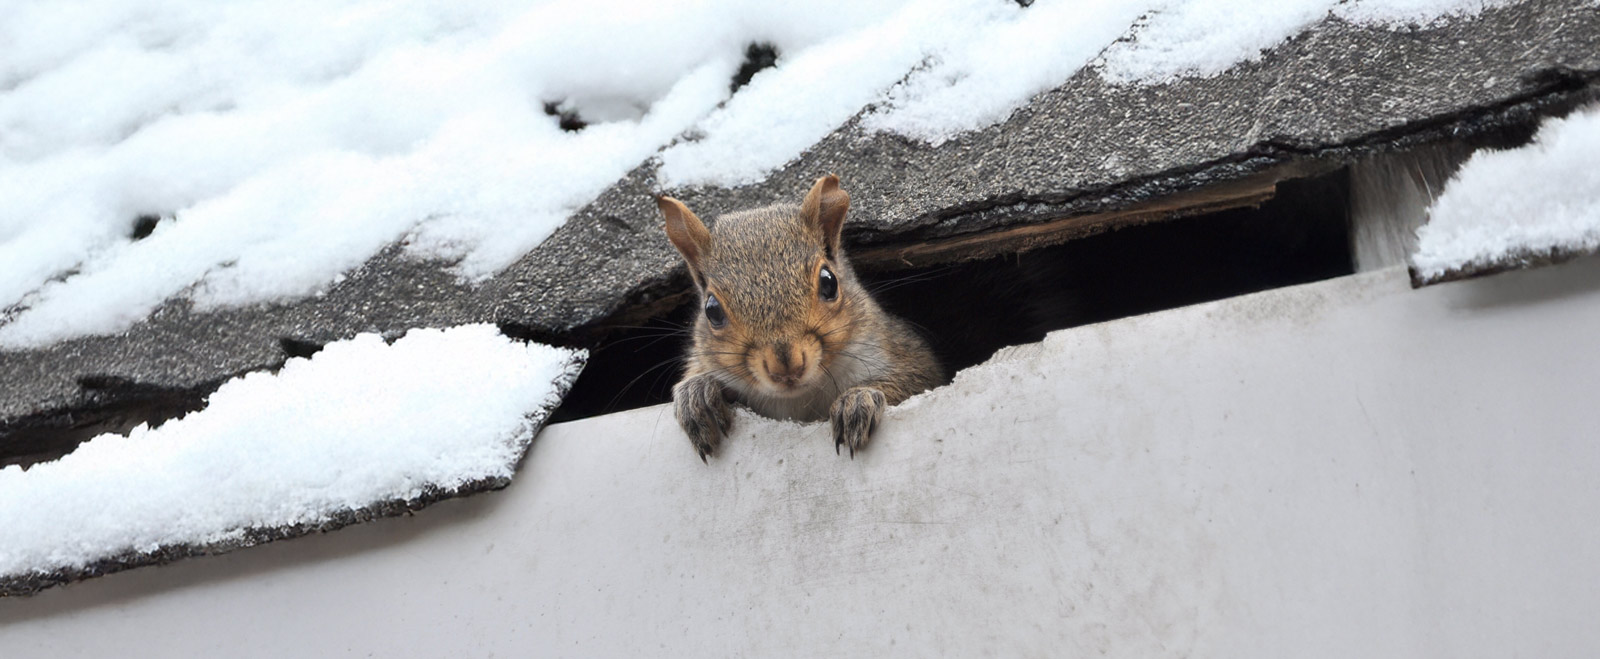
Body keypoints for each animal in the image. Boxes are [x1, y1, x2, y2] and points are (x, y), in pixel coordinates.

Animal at [656, 175, 940, 463]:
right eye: (711, 310)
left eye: (829, 282)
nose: (786, 367)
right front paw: (697, 394)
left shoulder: (897, 349)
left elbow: (916, 378)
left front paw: (859, 399)